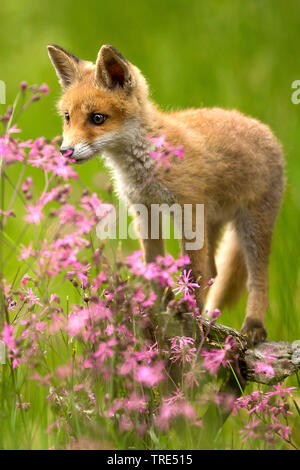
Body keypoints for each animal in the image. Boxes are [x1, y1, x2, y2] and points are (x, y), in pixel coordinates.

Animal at [48, 44, 284, 344]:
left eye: (97, 118)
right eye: (68, 117)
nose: (65, 152)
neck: (147, 163)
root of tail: (263, 128)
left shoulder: (189, 211)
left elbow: (193, 271)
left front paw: (189, 314)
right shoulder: (144, 210)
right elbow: (154, 263)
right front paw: (163, 303)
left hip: (253, 226)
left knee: (258, 277)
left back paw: (252, 325)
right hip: (214, 224)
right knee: (215, 271)